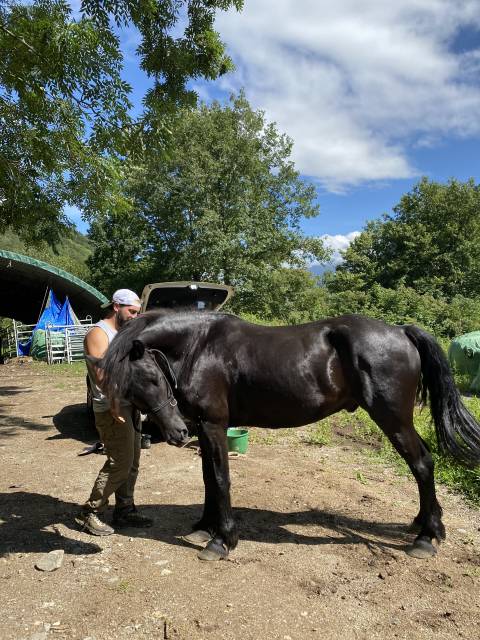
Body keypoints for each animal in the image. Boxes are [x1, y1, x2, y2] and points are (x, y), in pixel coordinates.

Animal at [90, 310, 480, 561]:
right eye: (124, 386)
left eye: (150, 378)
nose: (176, 432)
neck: (199, 346)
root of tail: (401, 331)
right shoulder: (203, 426)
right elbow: (207, 480)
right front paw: (204, 527)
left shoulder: (213, 424)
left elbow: (220, 478)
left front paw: (222, 540)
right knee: (424, 463)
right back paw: (425, 523)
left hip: (392, 419)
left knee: (422, 463)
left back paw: (426, 538)